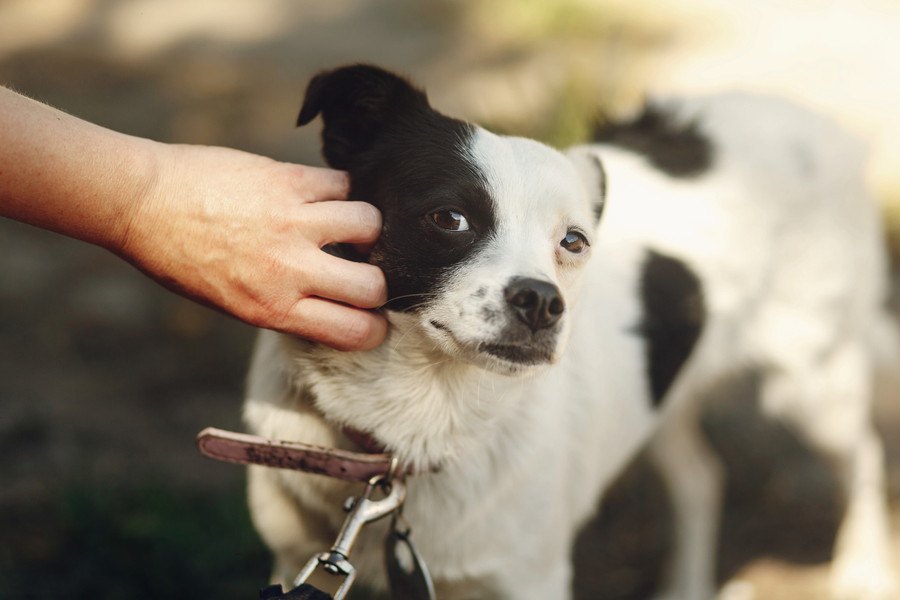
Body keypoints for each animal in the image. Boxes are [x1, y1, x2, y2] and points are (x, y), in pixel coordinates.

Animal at [243, 65, 896, 600]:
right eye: (449, 218)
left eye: (574, 241)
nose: (541, 303)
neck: (422, 421)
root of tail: (823, 124)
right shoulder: (291, 560)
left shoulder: (529, 582)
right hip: (660, 391)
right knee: (701, 479)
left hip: (816, 382)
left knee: (863, 455)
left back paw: (863, 570)